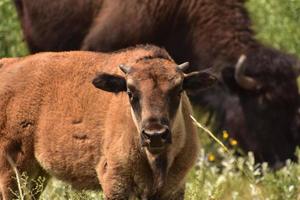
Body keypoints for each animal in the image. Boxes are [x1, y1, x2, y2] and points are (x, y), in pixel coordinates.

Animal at [0, 45, 216, 200]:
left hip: (36, 174)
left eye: (178, 90)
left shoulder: (174, 187)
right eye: (130, 92)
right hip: (13, 170)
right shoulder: (115, 181)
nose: (155, 135)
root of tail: (7, 64)